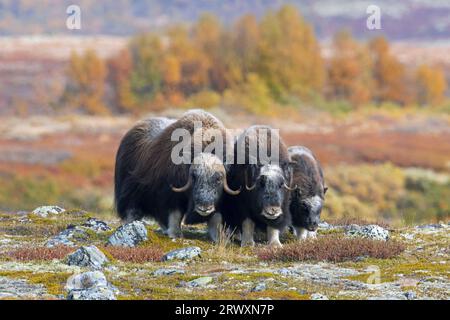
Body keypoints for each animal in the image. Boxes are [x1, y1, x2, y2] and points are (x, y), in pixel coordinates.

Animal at [114, 110, 241, 240]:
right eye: (194, 177)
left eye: (218, 179)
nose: (204, 207)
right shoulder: (171, 194)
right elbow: (175, 214)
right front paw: (176, 234)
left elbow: (216, 218)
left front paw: (219, 238)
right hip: (131, 190)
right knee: (131, 207)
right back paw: (131, 223)